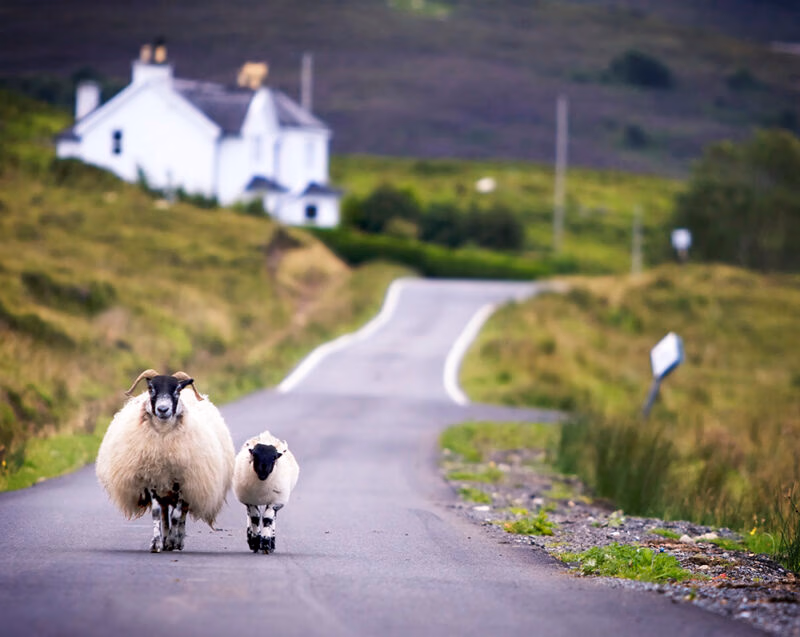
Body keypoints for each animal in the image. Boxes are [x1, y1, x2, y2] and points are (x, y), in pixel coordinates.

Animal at [95, 369, 235, 553]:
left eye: (177, 390)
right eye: (150, 388)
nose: (163, 409)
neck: (163, 440)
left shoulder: (183, 481)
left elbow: (176, 515)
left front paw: (173, 541)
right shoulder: (152, 478)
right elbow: (157, 513)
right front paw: (156, 543)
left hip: (191, 485)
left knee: (181, 513)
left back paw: (177, 540)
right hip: (164, 488)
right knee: (164, 512)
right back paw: (166, 537)